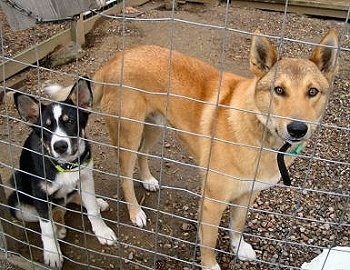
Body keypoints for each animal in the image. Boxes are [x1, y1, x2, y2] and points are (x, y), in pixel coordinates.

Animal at [7, 78, 117, 268]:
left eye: (71, 121)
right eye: (46, 128)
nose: (60, 146)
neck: (66, 165)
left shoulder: (86, 177)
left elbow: (92, 210)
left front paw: (102, 230)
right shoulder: (40, 194)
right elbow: (46, 227)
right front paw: (53, 253)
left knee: (71, 199)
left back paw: (96, 202)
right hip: (17, 201)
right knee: (51, 213)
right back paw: (58, 226)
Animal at [47, 28, 340, 268]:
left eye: (312, 92)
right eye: (279, 90)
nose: (298, 129)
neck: (261, 136)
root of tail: (116, 59)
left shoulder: (248, 194)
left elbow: (237, 225)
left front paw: (239, 248)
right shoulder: (212, 202)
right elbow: (209, 242)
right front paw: (211, 266)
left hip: (153, 127)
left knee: (143, 156)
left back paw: (148, 180)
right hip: (129, 133)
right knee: (125, 176)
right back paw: (135, 212)